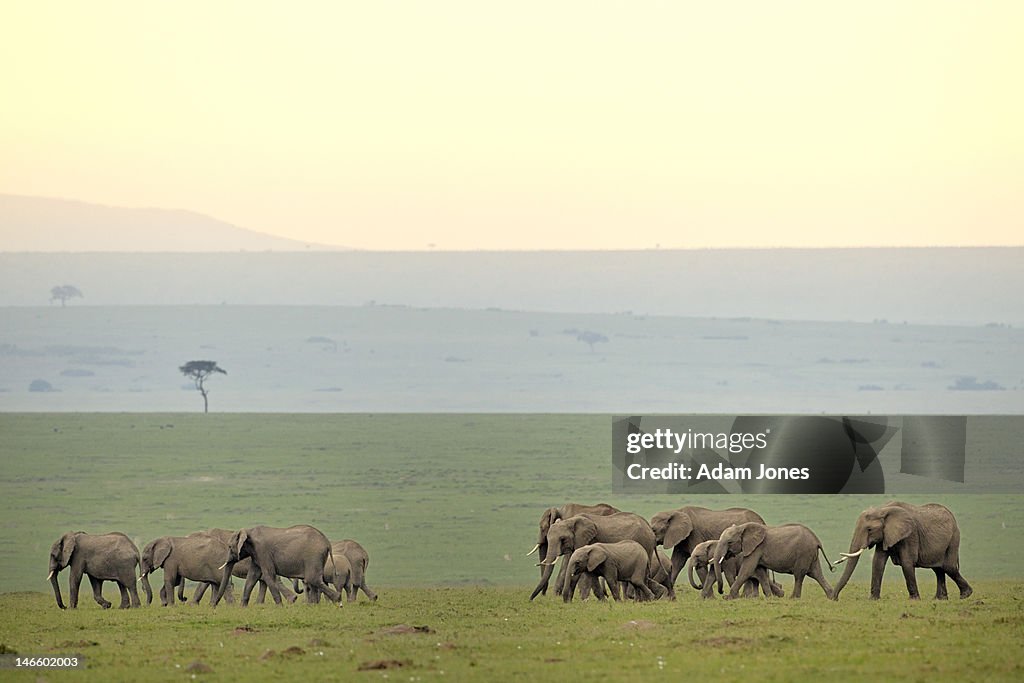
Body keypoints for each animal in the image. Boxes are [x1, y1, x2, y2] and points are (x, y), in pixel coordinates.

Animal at [212, 525, 341, 607]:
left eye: (229, 547)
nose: (214, 606)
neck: (249, 531)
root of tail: (327, 542)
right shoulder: (256, 555)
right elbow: (252, 576)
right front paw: (242, 607)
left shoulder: (263, 551)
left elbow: (268, 575)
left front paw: (280, 606)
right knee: (314, 581)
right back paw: (314, 606)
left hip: (313, 556)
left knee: (313, 579)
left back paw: (338, 601)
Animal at [531, 512, 662, 600]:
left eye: (562, 539)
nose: (530, 600)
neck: (571, 520)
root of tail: (649, 528)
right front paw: (570, 602)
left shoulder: (588, 541)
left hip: (645, 544)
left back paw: (643, 600)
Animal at [831, 501, 972, 601]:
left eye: (869, 529)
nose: (834, 598)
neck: (883, 509)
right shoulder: (885, 535)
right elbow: (878, 562)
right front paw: (873, 599)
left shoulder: (910, 534)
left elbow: (906, 562)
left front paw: (914, 600)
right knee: (938, 569)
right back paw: (940, 599)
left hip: (954, 538)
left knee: (948, 567)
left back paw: (965, 595)